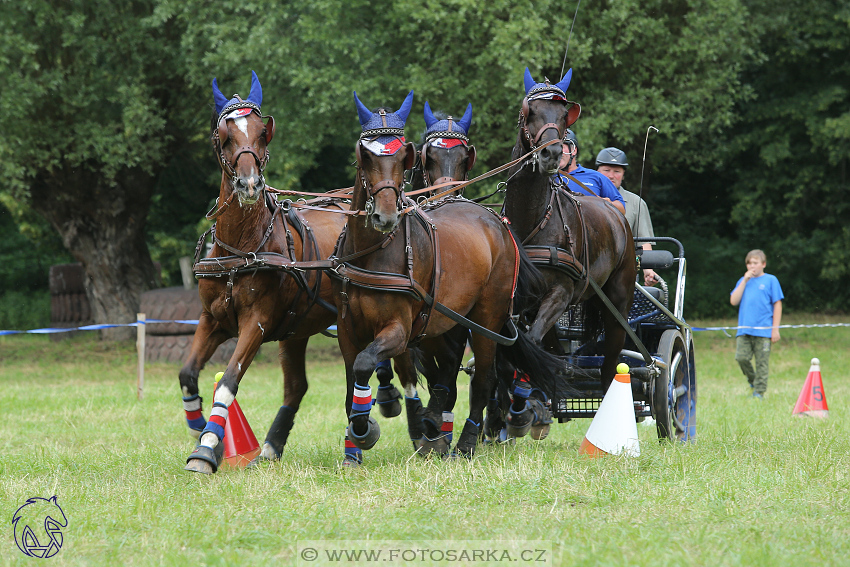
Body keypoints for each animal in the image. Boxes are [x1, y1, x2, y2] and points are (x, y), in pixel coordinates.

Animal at [181, 72, 350, 474]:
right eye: (224, 135)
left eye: (262, 132)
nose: (249, 184)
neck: (242, 247)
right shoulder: (213, 319)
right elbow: (188, 374)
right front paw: (198, 427)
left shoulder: (255, 323)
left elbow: (228, 380)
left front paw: (206, 449)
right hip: (297, 329)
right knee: (297, 386)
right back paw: (271, 448)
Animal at [332, 91, 564, 464]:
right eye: (364, 155)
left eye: (403, 156)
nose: (384, 216)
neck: (372, 252)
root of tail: (500, 225)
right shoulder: (348, 330)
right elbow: (359, 379)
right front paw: (355, 447)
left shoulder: (399, 329)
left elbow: (368, 364)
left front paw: (367, 430)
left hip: (486, 318)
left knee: (483, 379)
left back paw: (467, 441)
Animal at [500, 67, 632, 434]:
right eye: (528, 112)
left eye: (563, 114)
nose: (550, 154)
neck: (532, 219)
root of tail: (615, 213)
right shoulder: (516, 300)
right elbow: (518, 347)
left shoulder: (559, 294)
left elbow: (530, 342)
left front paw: (524, 405)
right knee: (555, 350)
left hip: (617, 304)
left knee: (610, 364)